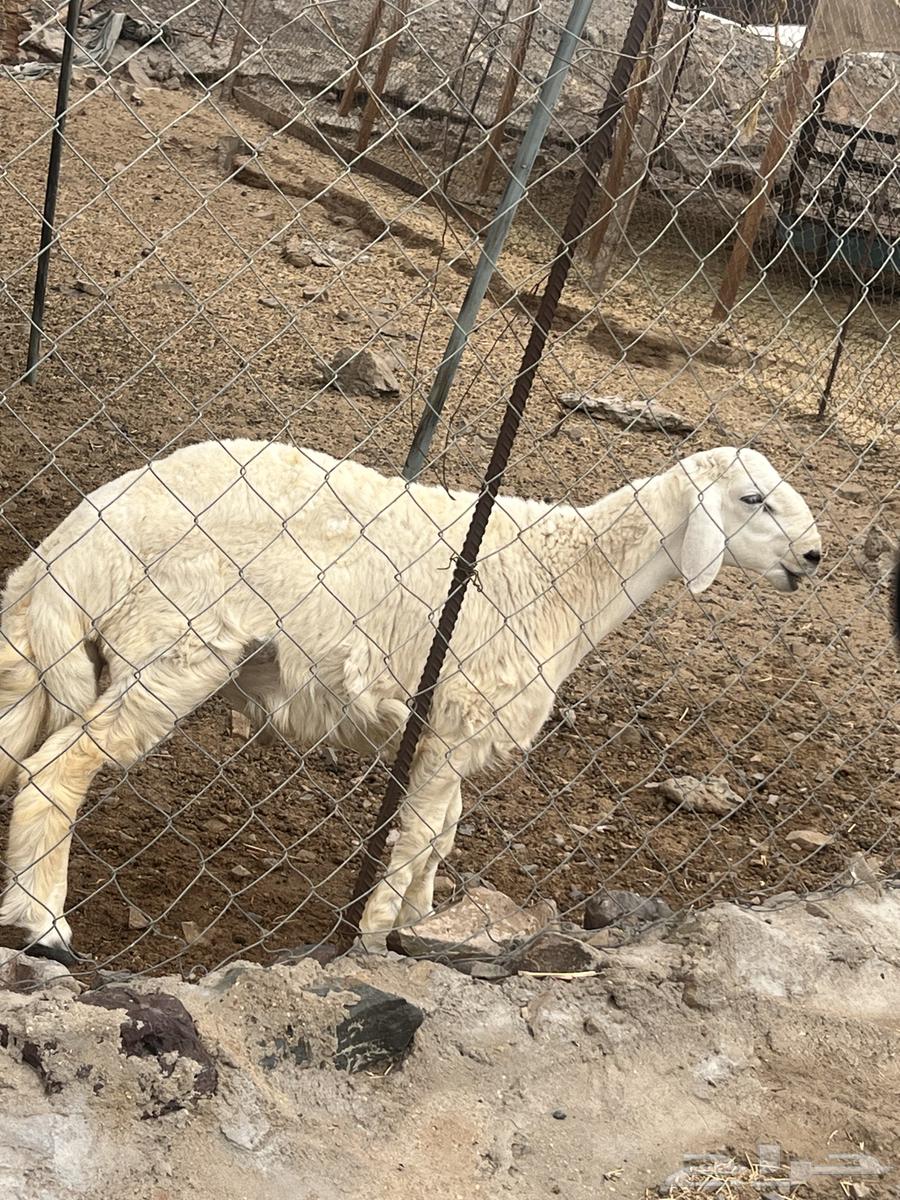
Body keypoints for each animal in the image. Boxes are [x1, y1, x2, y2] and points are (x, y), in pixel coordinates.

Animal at [0, 440, 822, 962]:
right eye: (752, 499)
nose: (814, 557)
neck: (567, 578)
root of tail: (68, 546)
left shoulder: (451, 736)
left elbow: (443, 836)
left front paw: (428, 922)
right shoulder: (457, 717)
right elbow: (419, 836)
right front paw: (374, 938)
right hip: (174, 644)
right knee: (53, 774)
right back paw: (45, 928)